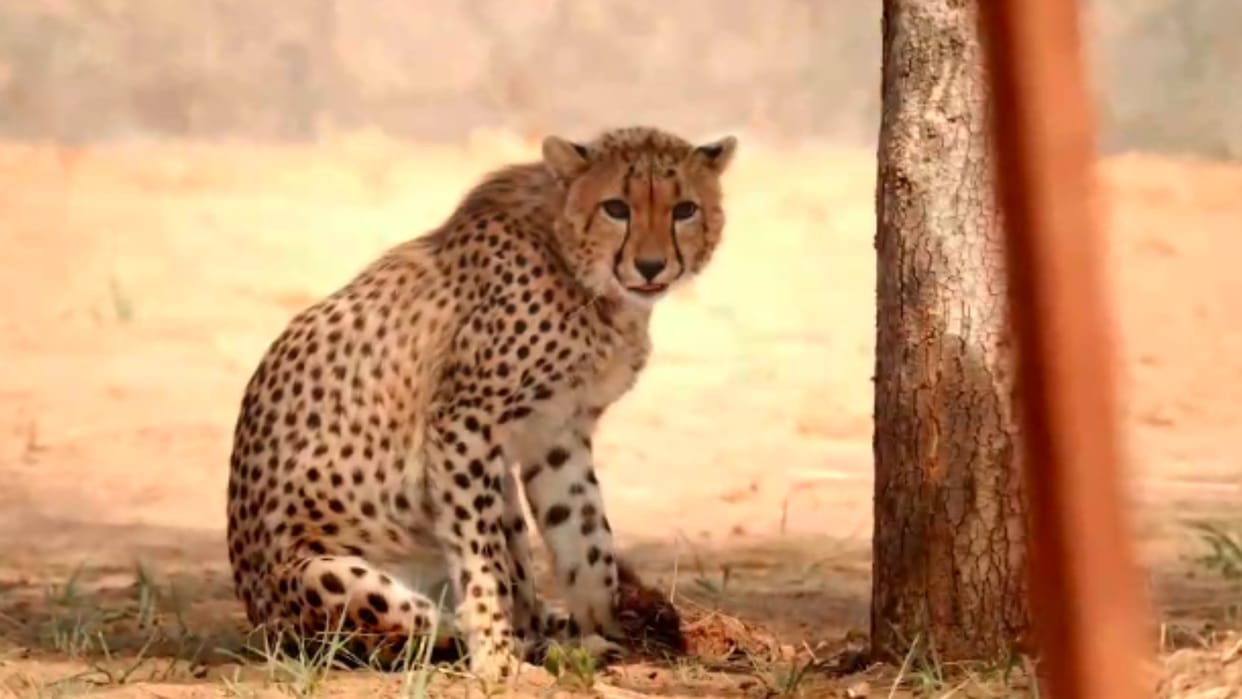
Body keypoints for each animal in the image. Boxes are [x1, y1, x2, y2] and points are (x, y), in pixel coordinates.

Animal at [225, 125, 737, 681]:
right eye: (616, 207)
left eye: (684, 209)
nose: (650, 265)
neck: (574, 266)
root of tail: (260, 622)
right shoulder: (462, 425)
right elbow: (483, 557)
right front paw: (497, 657)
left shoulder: (556, 433)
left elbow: (586, 535)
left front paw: (602, 626)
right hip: (325, 576)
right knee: (416, 631)